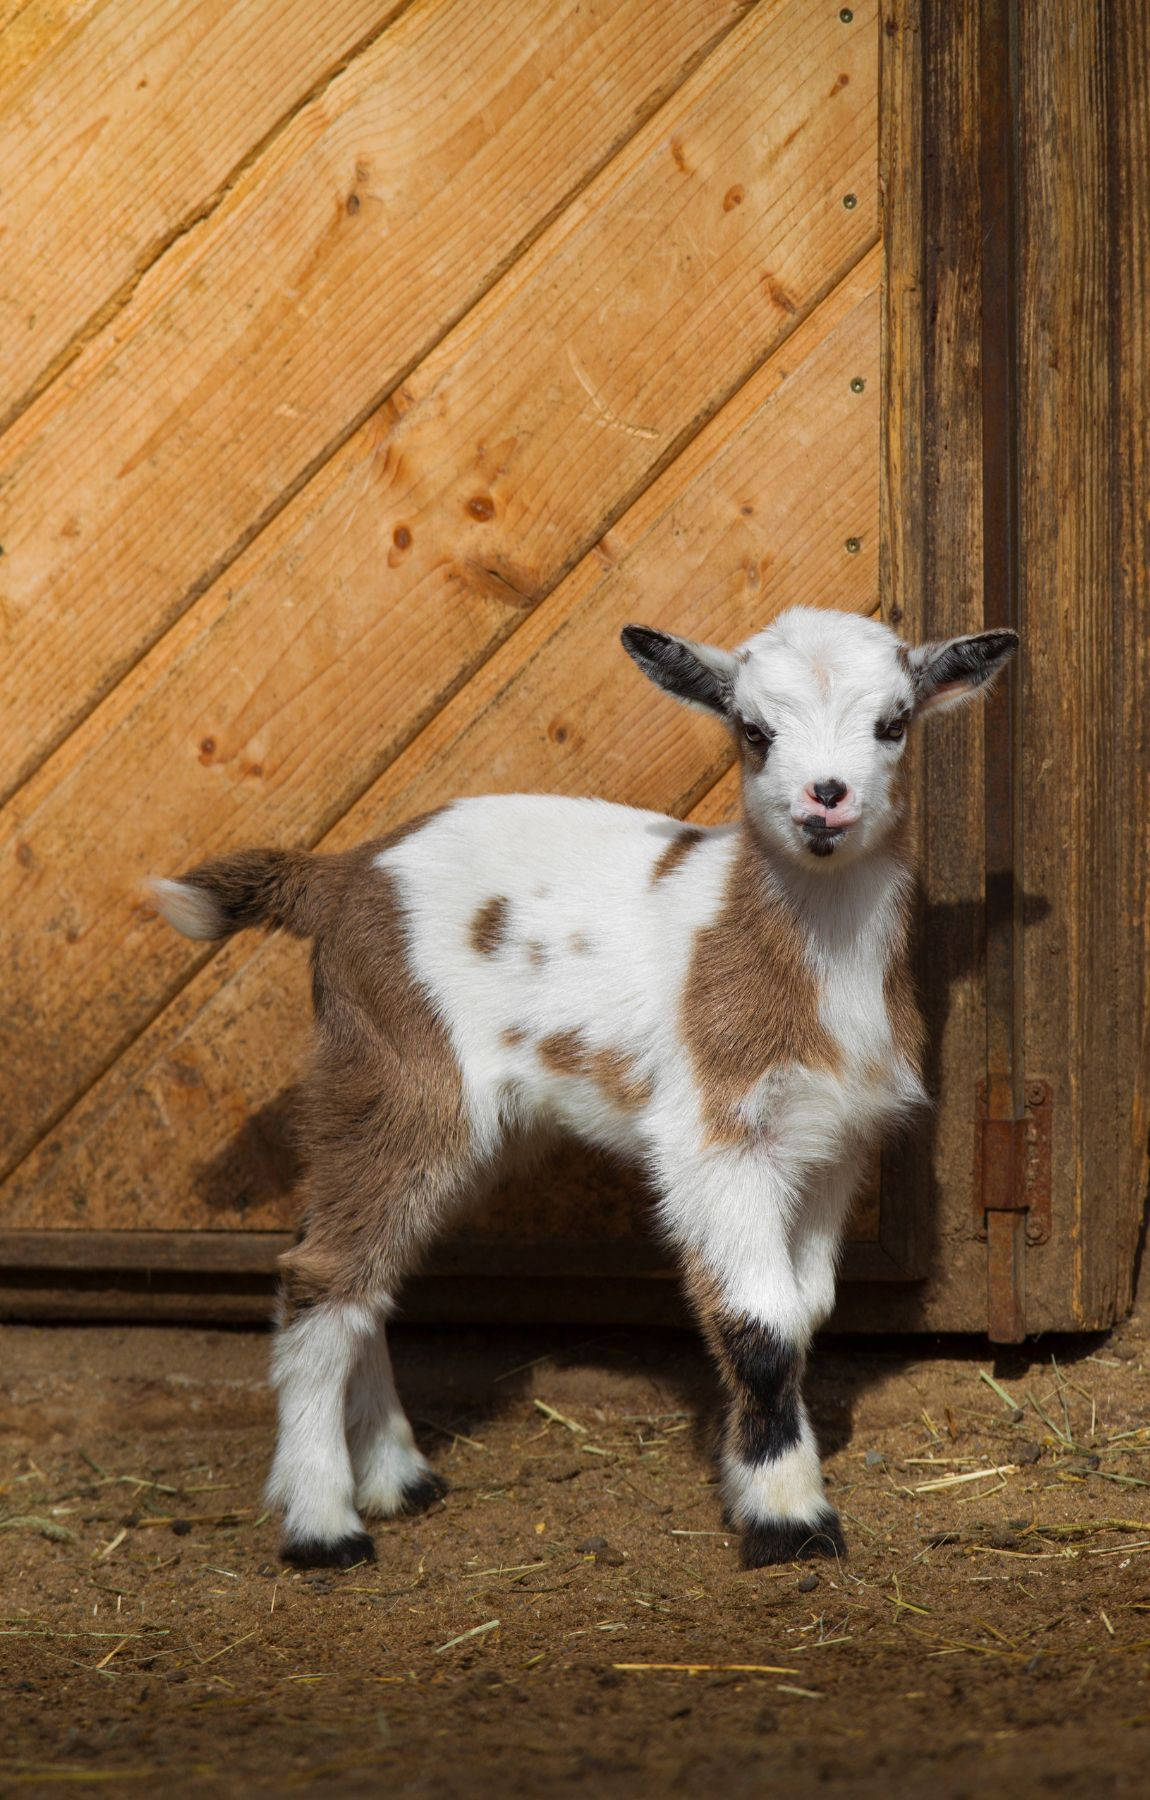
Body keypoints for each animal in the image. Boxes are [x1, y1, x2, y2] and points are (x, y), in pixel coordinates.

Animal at [151, 612, 1015, 1569]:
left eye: (893, 723)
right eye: (752, 731)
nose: (824, 799)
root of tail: (340, 876)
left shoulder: (834, 1144)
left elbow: (805, 1311)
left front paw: (755, 1479)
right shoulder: (713, 1134)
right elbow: (758, 1323)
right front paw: (788, 1517)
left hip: (432, 1111)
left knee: (361, 1267)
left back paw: (397, 1479)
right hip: (404, 1074)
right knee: (321, 1273)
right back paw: (321, 1526)